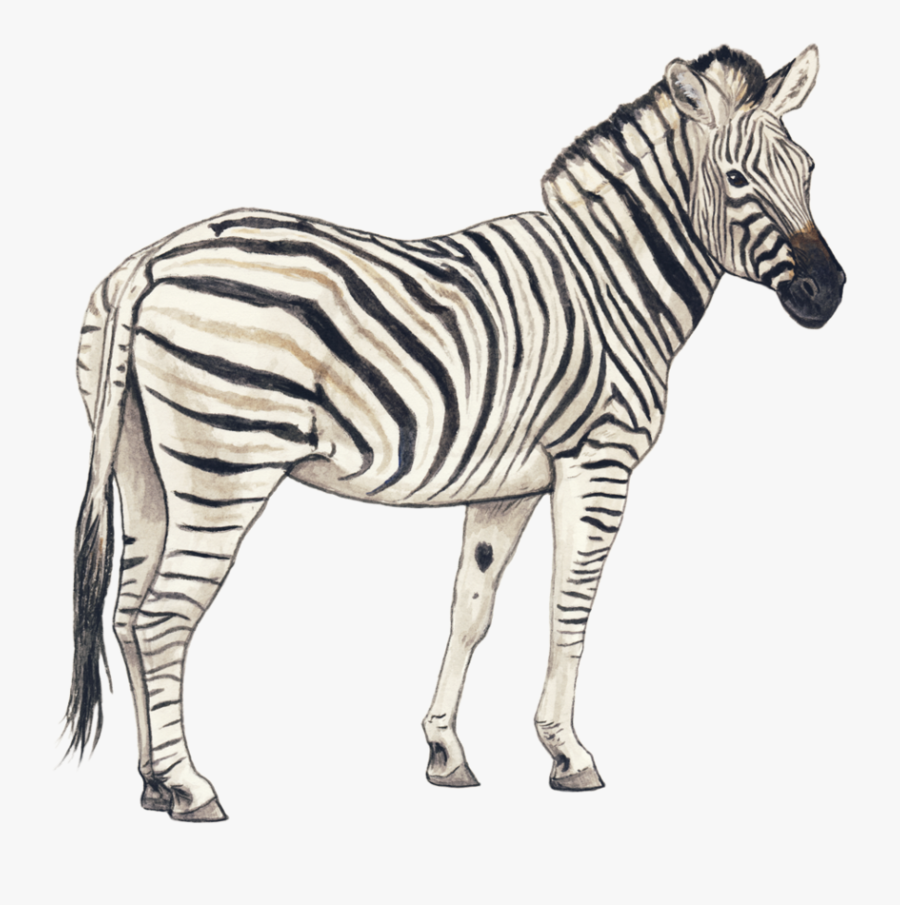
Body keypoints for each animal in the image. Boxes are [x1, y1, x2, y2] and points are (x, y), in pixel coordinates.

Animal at [67, 44, 843, 821]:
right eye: (736, 178)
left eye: (808, 171)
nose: (829, 292)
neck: (612, 283)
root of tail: (153, 259)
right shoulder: (598, 459)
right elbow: (571, 602)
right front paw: (569, 753)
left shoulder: (508, 485)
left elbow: (471, 607)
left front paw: (445, 750)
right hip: (225, 462)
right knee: (163, 616)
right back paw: (192, 786)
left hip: (141, 464)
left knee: (128, 613)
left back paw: (153, 782)